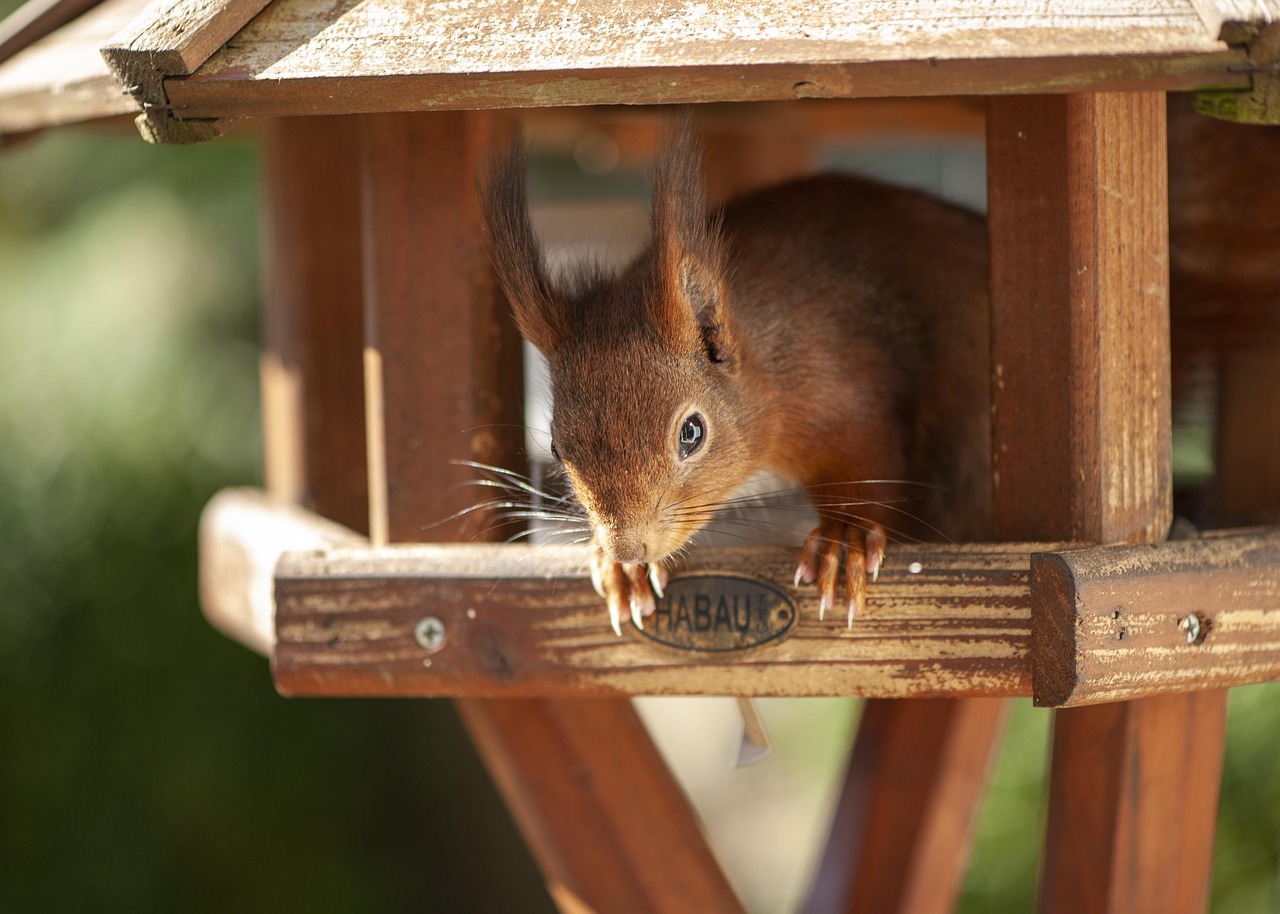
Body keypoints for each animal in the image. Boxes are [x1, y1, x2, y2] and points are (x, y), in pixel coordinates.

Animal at [481, 119, 992, 637]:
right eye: (555, 448)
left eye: (691, 433)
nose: (627, 548)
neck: (768, 366)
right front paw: (620, 571)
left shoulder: (841, 391)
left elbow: (870, 463)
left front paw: (844, 537)